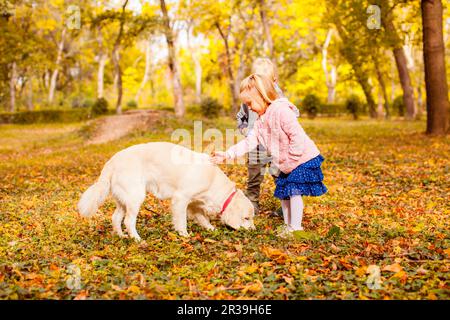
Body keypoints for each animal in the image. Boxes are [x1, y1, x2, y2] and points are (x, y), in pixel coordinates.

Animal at [77, 142, 253, 240]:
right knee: (128, 221)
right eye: (246, 218)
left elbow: (202, 218)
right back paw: (137, 239)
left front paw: (210, 228)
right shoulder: (181, 199)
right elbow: (181, 221)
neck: (212, 180)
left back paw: (122, 236)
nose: (253, 231)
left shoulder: (194, 204)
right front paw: (184, 235)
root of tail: (112, 161)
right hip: (135, 197)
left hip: (123, 200)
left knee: (115, 218)